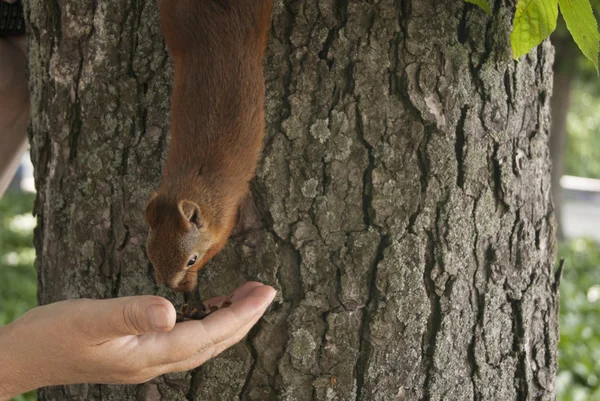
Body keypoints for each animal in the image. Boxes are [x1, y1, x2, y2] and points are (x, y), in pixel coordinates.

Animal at [145, 0, 272, 290]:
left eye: (191, 260)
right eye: (150, 252)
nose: (167, 285)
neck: (190, 185)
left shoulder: (223, 222)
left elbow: (216, 246)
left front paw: (189, 283)